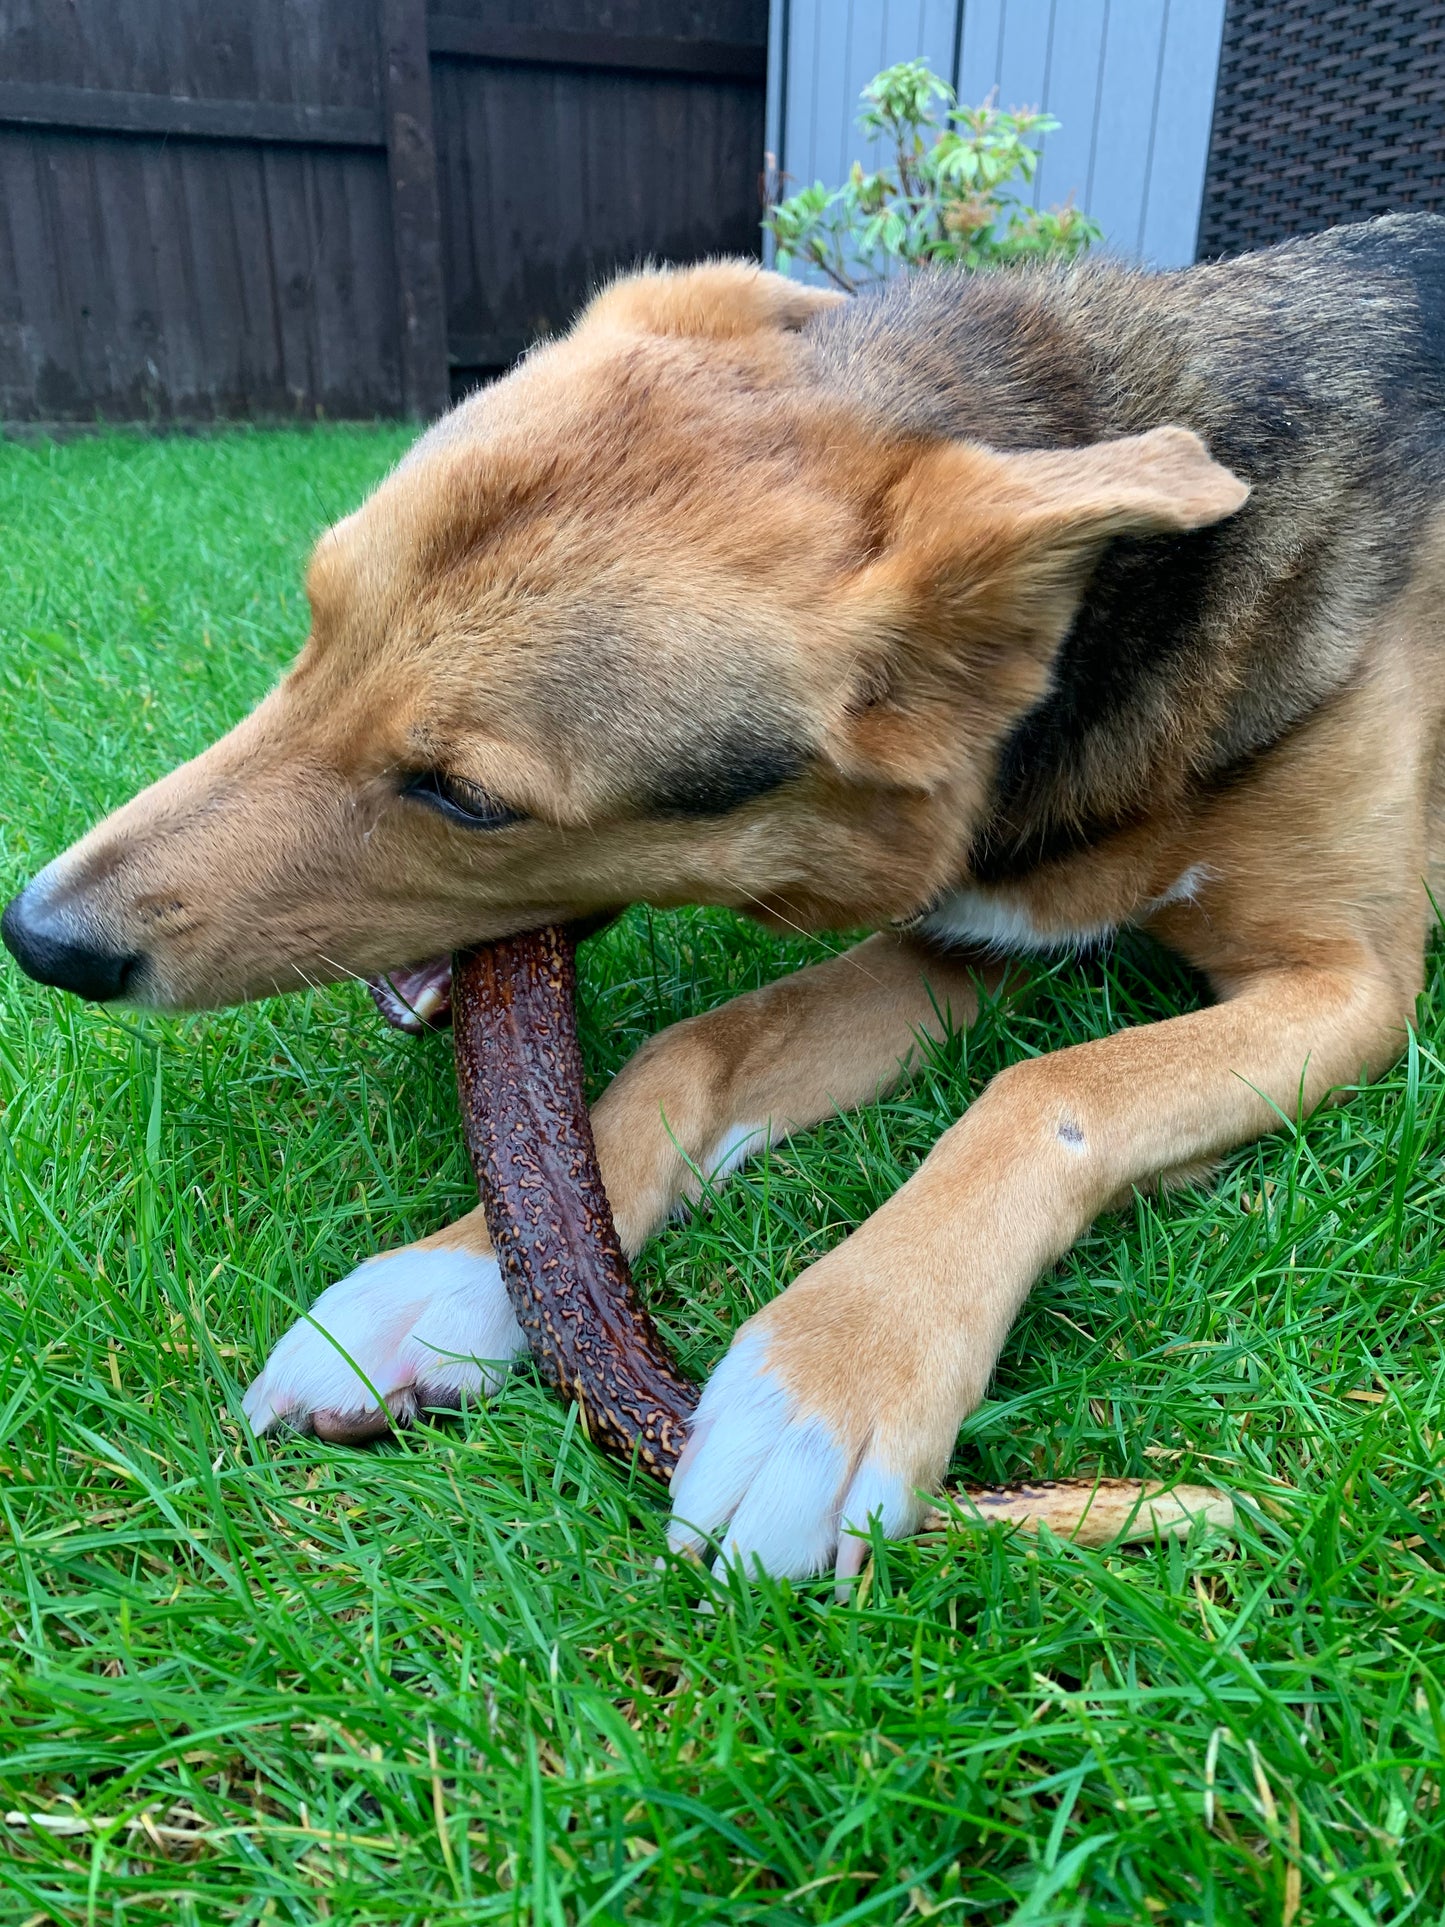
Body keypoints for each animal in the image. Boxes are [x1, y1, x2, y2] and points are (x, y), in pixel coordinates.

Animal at [5, 211, 1441, 1580]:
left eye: (466, 796)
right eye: (313, 619)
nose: (40, 937)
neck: (1106, 649)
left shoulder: (1347, 985)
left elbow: (1049, 1086)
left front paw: (832, 1376)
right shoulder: (960, 941)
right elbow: (690, 1050)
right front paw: (445, 1273)